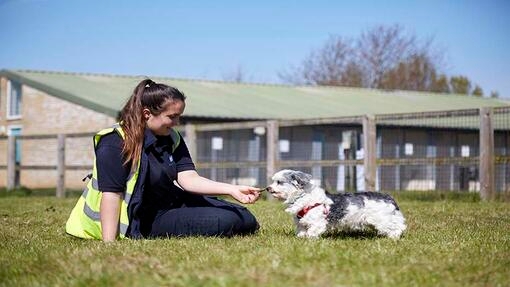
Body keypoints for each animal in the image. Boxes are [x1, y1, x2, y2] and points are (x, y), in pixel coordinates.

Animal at [266, 170, 406, 240]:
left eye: (279, 182)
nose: (268, 188)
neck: (303, 197)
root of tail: (388, 197)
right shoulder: (301, 224)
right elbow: (301, 233)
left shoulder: (317, 223)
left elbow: (311, 233)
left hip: (383, 220)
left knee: (398, 228)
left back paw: (393, 238)